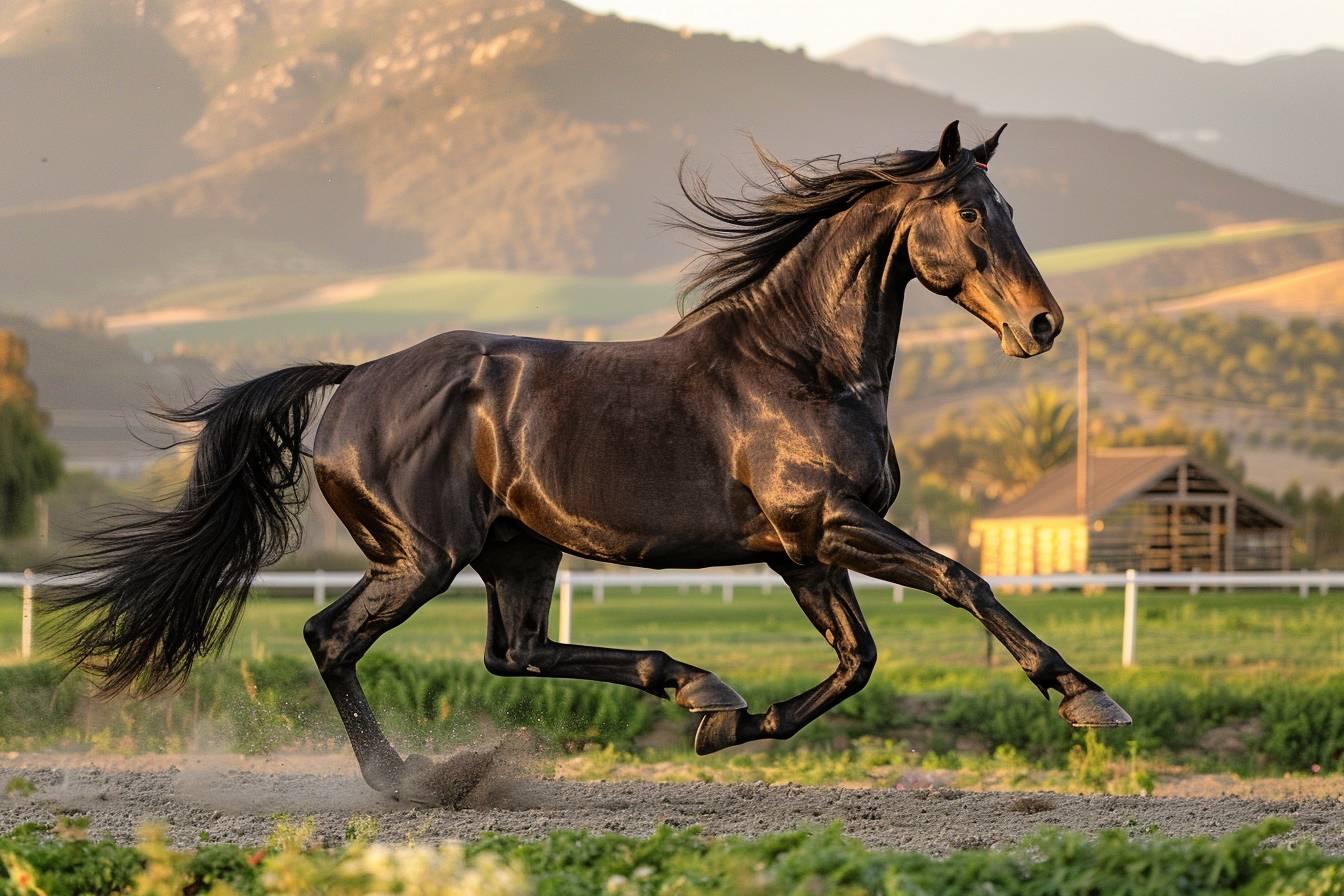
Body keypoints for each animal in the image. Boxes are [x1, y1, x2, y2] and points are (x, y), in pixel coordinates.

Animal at [47, 122, 1128, 800]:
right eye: (974, 214)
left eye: (1009, 206)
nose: (1042, 323)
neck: (803, 365)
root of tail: (352, 379)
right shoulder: (832, 524)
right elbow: (961, 578)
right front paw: (1087, 699)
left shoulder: (800, 549)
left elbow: (856, 660)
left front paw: (732, 727)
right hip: (421, 557)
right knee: (332, 637)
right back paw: (409, 778)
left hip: (519, 548)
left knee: (515, 650)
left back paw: (696, 686)